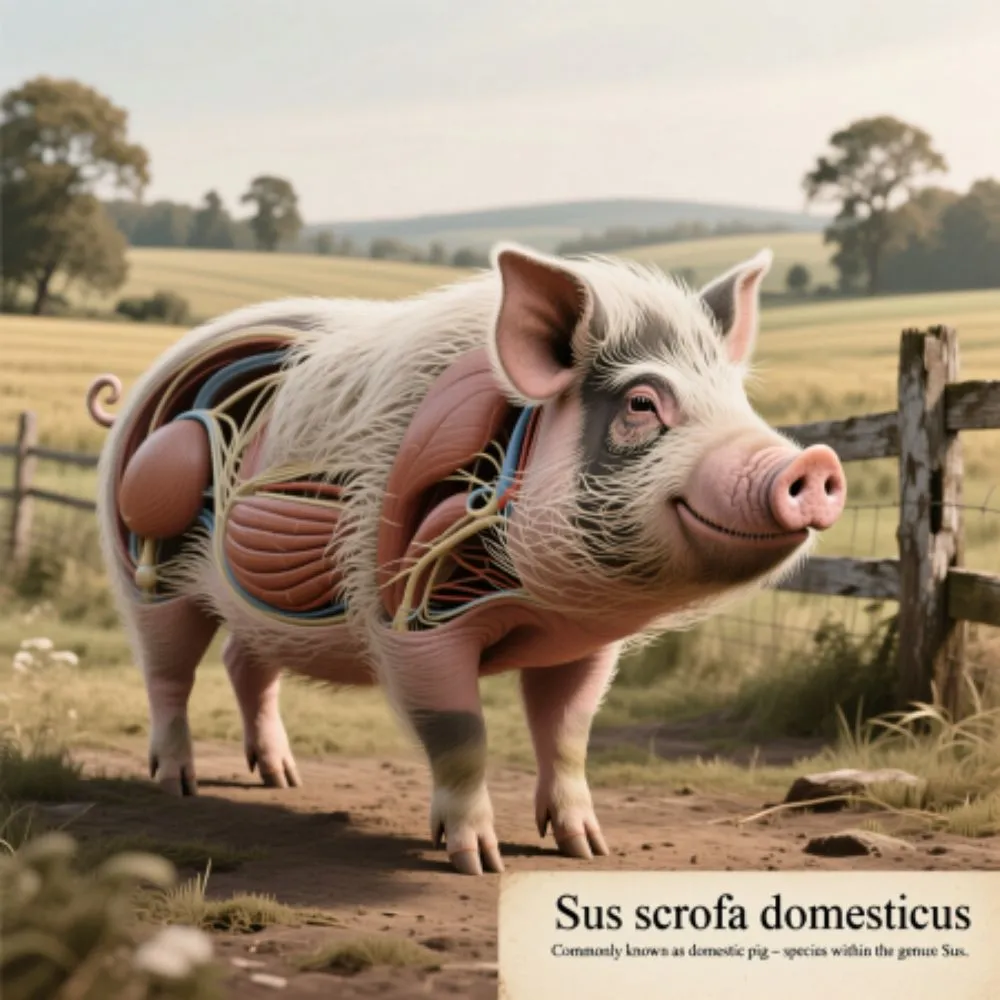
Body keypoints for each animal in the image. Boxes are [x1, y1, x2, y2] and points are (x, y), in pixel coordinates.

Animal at [87, 242, 846, 876]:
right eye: (641, 402)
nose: (810, 462)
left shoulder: (587, 644)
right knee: (168, 675)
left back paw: (282, 779)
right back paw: (178, 784)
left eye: (737, 398)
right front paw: (478, 863)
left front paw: (588, 849)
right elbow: (461, 735)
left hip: (258, 612)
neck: (543, 606)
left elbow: (567, 734)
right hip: (146, 574)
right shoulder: (409, 623)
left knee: (245, 663)